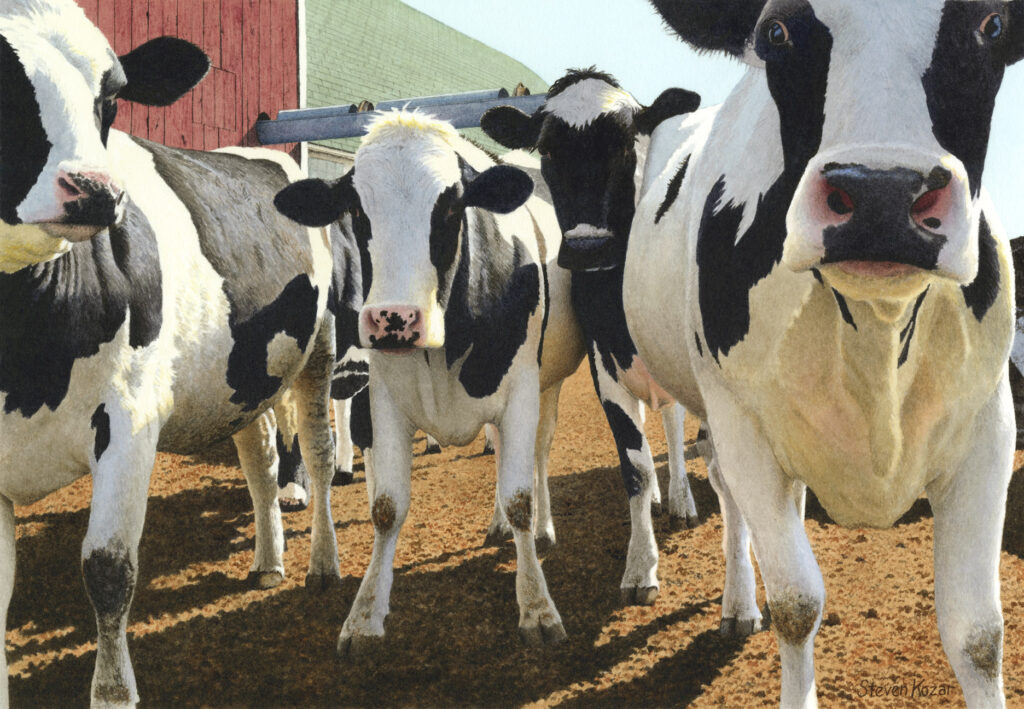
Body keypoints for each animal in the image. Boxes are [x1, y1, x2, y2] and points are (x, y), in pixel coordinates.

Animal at [0, 1, 349, 704]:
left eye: (111, 97)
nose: (95, 190)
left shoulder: (129, 418)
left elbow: (108, 571)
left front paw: (114, 691)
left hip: (319, 348)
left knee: (320, 453)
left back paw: (322, 565)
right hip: (243, 375)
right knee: (260, 458)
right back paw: (268, 560)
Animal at [275, 109, 592, 651]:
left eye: (450, 207)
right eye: (356, 210)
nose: (394, 318)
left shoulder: (521, 394)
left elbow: (521, 499)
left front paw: (536, 605)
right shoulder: (383, 400)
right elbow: (386, 508)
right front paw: (365, 613)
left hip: (548, 385)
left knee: (538, 454)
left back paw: (542, 529)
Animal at [622, 1, 1022, 706]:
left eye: (992, 26)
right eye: (775, 32)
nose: (883, 195)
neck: (875, 330)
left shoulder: (989, 429)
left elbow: (977, 634)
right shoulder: (744, 427)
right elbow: (797, 603)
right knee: (725, 493)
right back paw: (736, 603)